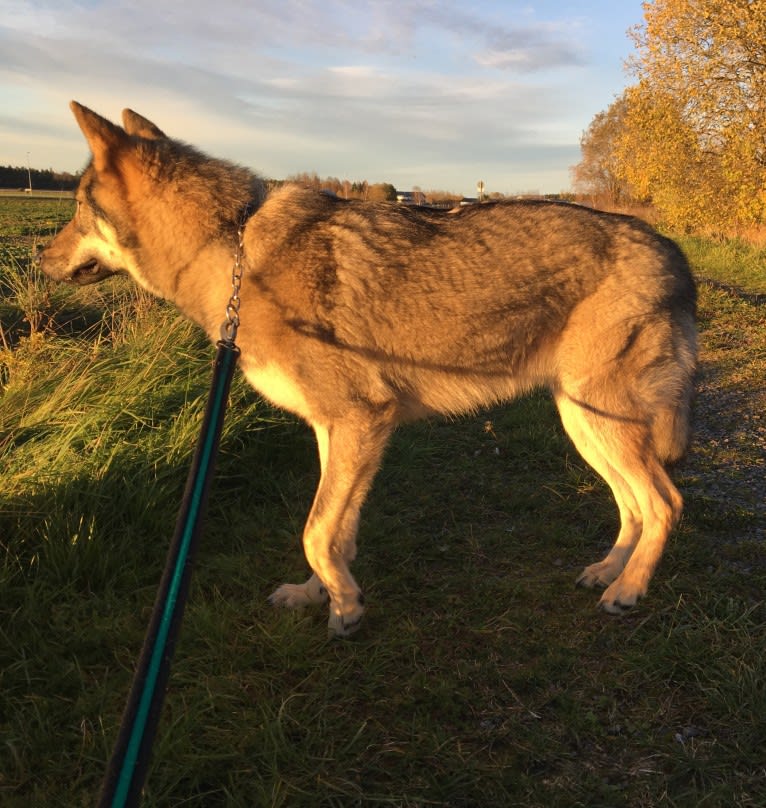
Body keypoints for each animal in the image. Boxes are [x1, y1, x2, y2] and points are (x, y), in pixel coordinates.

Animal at [39, 101, 700, 636]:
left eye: (77, 210)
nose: (39, 255)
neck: (232, 247)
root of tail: (673, 252)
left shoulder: (362, 419)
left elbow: (314, 531)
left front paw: (347, 609)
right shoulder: (336, 430)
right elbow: (335, 530)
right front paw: (323, 596)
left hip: (602, 423)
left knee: (665, 503)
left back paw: (628, 591)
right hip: (585, 425)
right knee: (633, 506)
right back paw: (607, 572)